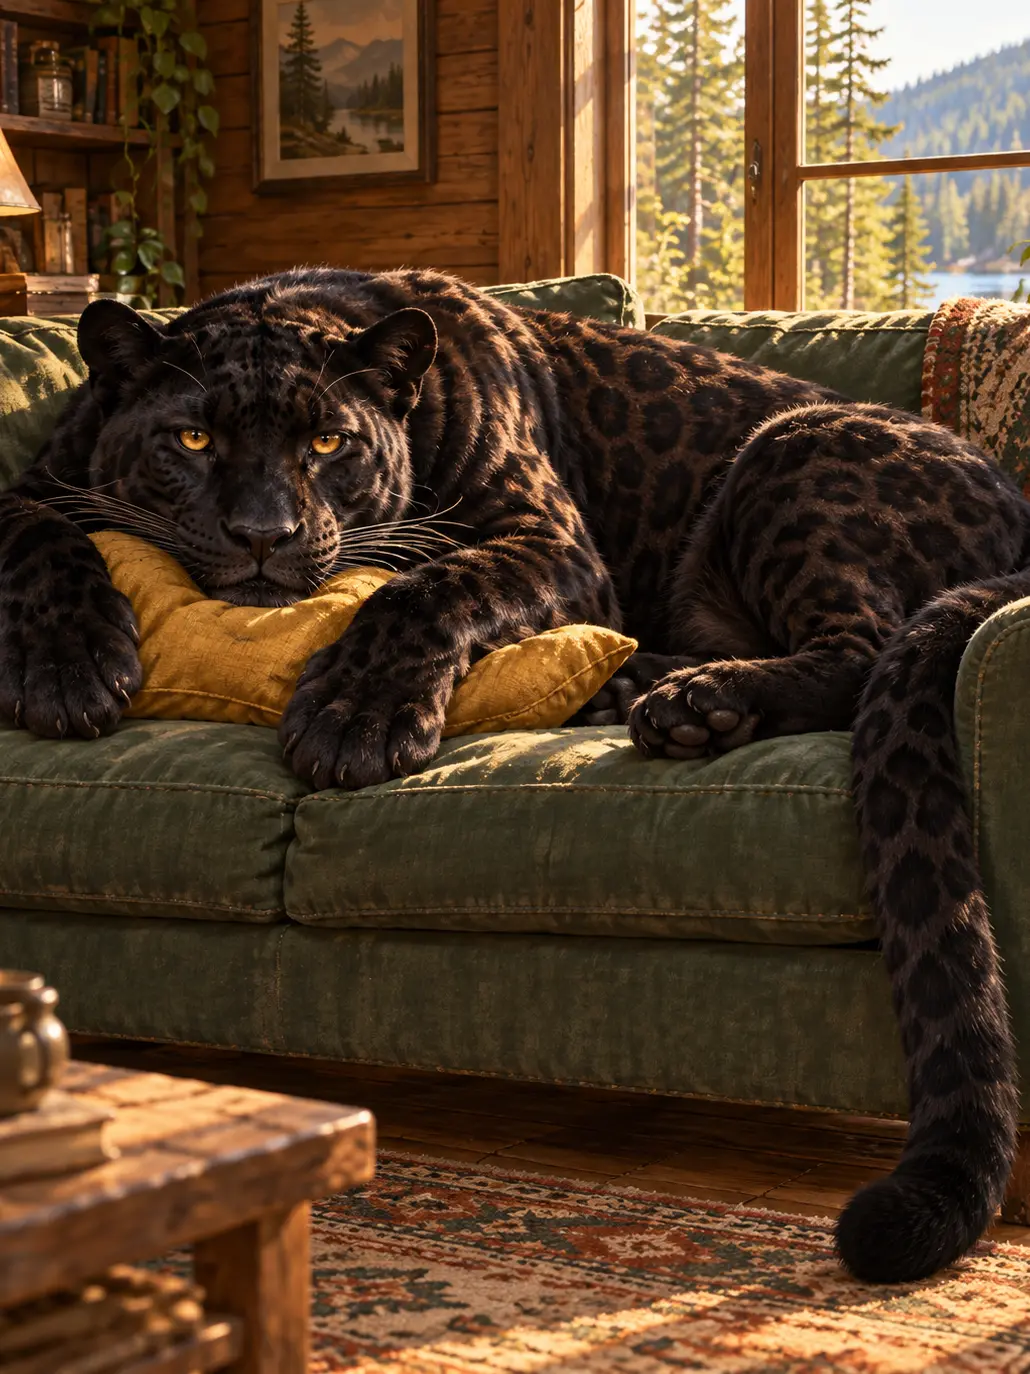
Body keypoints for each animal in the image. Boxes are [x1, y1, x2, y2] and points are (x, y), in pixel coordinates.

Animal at [0, 265, 1027, 1284]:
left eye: (327, 442)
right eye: (193, 437)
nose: (264, 533)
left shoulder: (546, 540)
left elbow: (430, 585)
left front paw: (355, 717)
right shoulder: (35, 486)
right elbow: (40, 534)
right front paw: (67, 664)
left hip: (796, 444)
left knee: (863, 645)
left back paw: (688, 704)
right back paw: (640, 689)